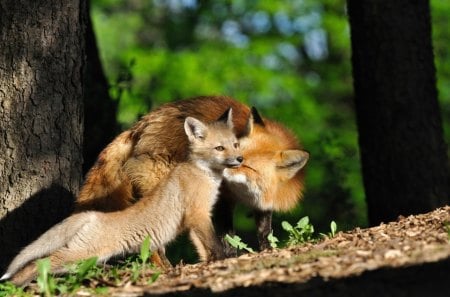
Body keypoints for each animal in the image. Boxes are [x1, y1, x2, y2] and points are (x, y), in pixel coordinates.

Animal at [1, 108, 243, 284]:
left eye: (235, 144)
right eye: (219, 148)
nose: (240, 159)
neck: (203, 174)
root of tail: (93, 215)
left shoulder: (193, 220)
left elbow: (203, 248)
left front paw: (208, 264)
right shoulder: (198, 213)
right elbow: (215, 243)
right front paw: (225, 260)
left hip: (87, 256)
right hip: (84, 251)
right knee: (39, 262)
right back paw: (14, 285)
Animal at [77, 96, 310, 253]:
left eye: (249, 166)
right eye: (233, 151)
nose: (222, 168)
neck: (245, 193)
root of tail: (142, 123)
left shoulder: (263, 204)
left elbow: (264, 232)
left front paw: (267, 251)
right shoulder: (222, 199)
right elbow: (227, 236)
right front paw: (230, 257)